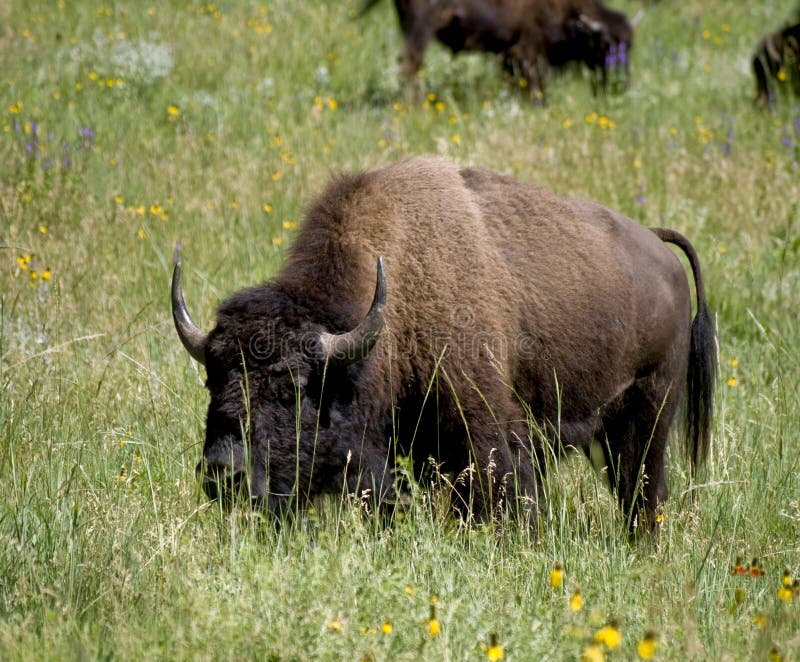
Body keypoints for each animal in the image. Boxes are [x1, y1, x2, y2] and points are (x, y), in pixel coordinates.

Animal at [172, 156, 716, 529]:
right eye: (212, 379)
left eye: (293, 387)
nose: (223, 474)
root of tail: (657, 245)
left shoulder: (485, 433)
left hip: (648, 413)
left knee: (641, 491)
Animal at [359, 0, 634, 98]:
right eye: (607, 44)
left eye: (629, 45)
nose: (620, 84)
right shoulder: (525, 51)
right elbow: (535, 83)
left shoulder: (508, 55)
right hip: (421, 27)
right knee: (410, 62)